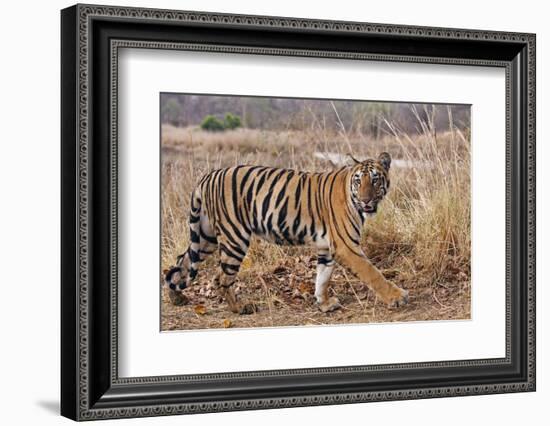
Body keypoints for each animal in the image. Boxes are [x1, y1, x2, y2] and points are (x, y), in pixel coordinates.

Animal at [164, 152, 410, 312]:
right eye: (359, 181)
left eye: (375, 180)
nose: (366, 200)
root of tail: (208, 176)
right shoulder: (346, 246)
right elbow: (373, 273)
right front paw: (397, 297)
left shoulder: (326, 247)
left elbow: (323, 277)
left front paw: (324, 304)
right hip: (234, 237)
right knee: (221, 277)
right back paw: (240, 307)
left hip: (206, 237)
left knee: (182, 261)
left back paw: (176, 297)